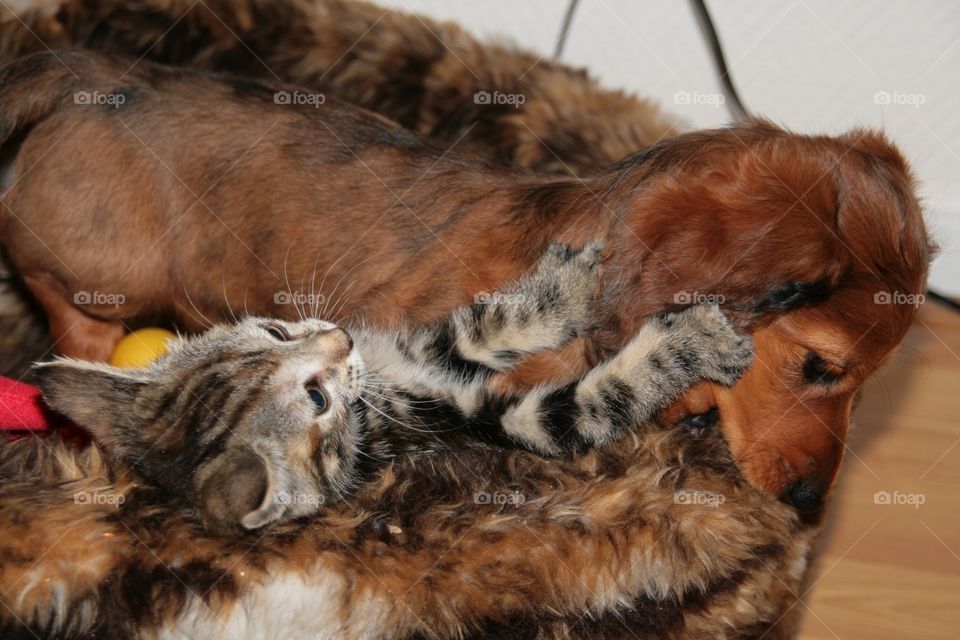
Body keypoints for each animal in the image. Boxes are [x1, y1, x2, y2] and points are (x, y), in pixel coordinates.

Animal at [37, 242, 752, 532]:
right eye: (317, 399)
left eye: (274, 330)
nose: (340, 337)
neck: (372, 402)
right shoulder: (484, 417)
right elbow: (598, 399)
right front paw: (696, 342)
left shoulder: (420, 353)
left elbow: (486, 324)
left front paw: (565, 288)